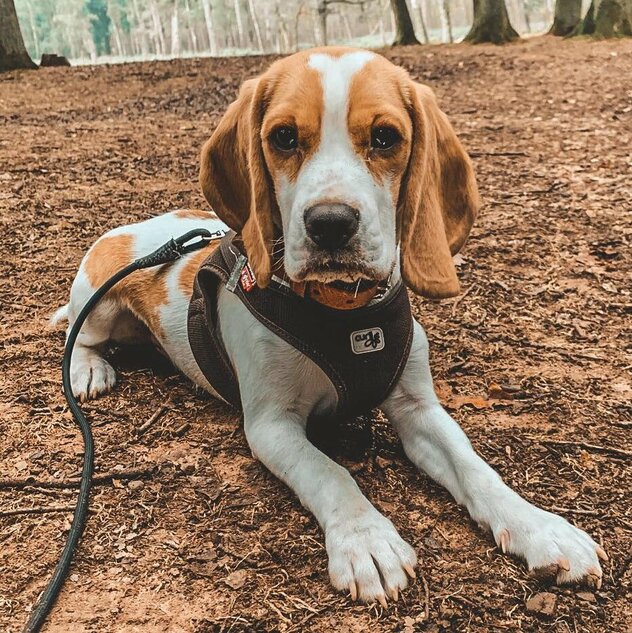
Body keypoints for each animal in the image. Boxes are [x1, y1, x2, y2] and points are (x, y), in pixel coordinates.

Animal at [54, 48, 608, 604]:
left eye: (385, 137)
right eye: (283, 137)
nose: (330, 223)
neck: (345, 312)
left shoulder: (419, 408)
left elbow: (474, 467)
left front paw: (540, 527)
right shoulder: (272, 425)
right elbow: (330, 471)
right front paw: (366, 540)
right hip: (98, 303)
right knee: (75, 334)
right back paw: (88, 370)